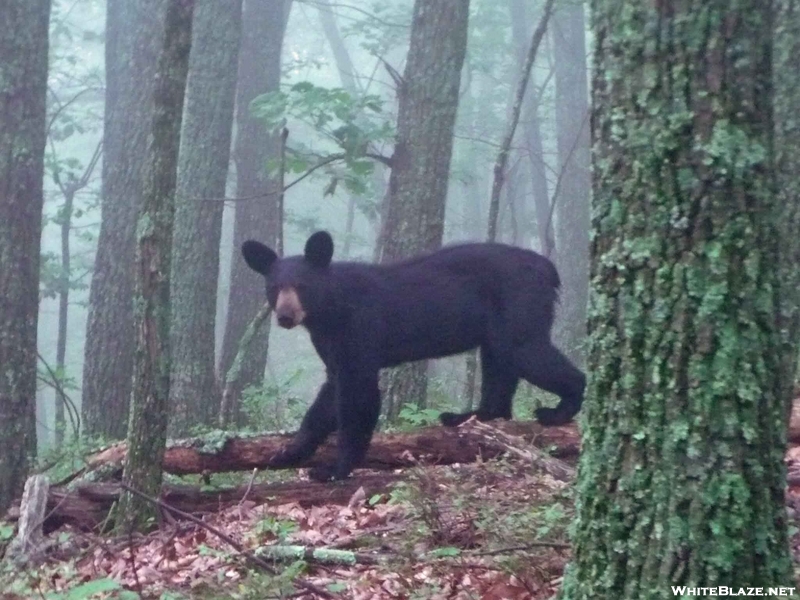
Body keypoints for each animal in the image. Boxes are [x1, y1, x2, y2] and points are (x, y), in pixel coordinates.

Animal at [241, 231, 584, 482]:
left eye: (302, 285)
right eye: (274, 287)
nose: (285, 316)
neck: (329, 312)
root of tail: (548, 269)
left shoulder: (359, 330)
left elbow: (358, 395)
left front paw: (334, 469)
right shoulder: (332, 345)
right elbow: (327, 397)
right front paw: (289, 452)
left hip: (519, 305)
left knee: (528, 352)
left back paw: (560, 410)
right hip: (497, 327)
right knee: (499, 364)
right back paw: (470, 416)